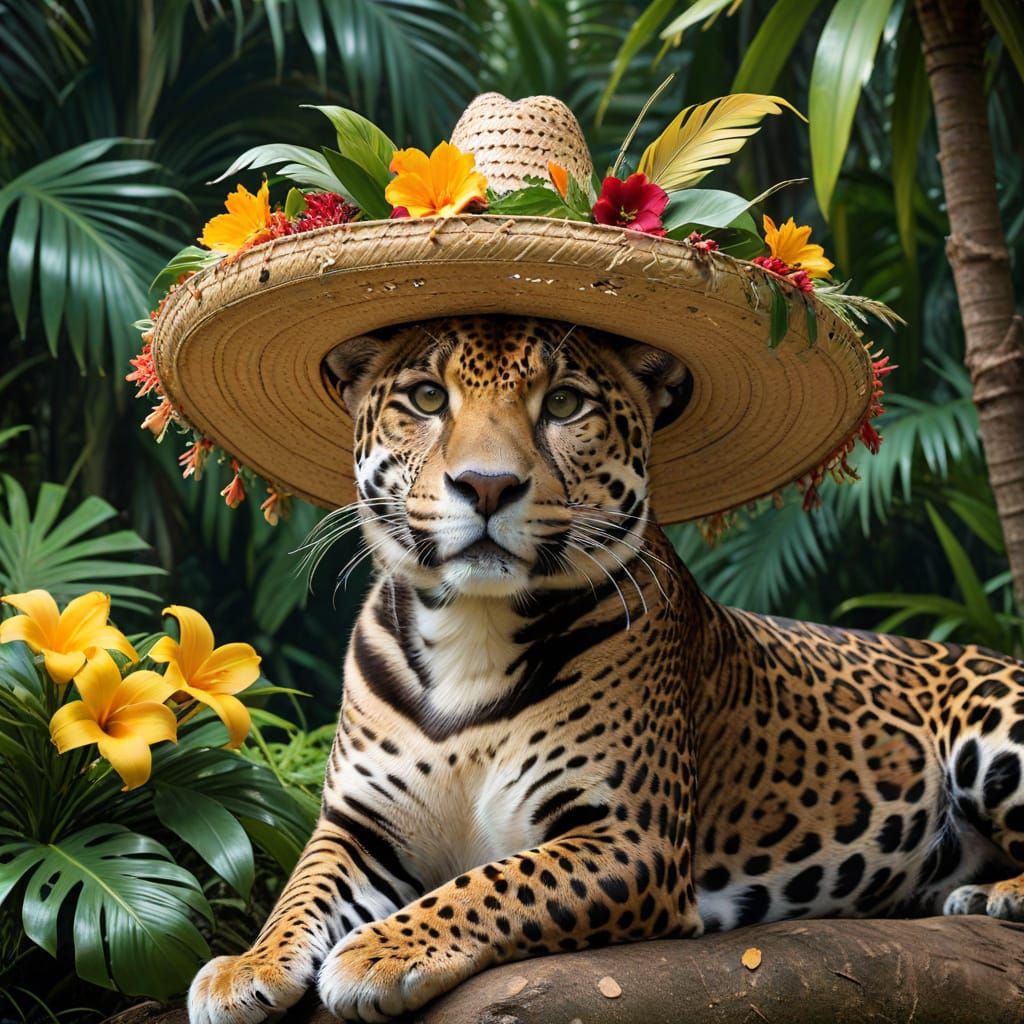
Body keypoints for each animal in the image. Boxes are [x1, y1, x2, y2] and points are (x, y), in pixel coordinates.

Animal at [188, 314, 1024, 1024]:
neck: (471, 630)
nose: (486, 486)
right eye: (427, 398)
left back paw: (997, 896)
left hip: (994, 724)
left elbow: (488, 883)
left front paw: (380, 950)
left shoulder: (628, 836)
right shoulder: (358, 827)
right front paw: (245, 966)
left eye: (563, 404)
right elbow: (300, 891)